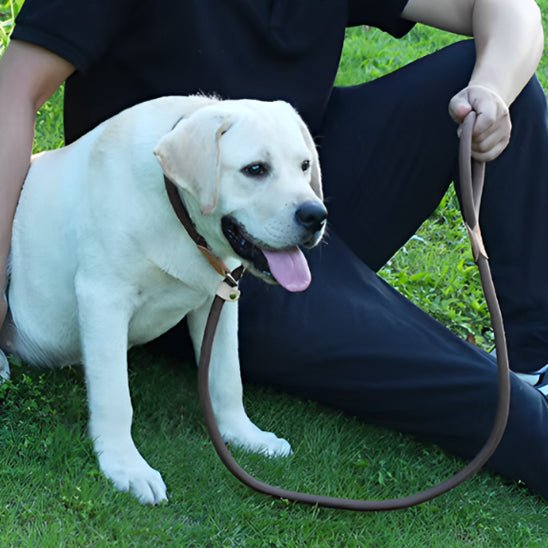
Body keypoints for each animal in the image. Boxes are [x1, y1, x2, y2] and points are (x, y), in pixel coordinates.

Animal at [0, 95, 326, 506]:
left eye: (304, 166)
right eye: (255, 169)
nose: (316, 215)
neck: (178, 215)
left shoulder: (220, 300)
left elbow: (227, 377)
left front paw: (243, 434)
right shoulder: (103, 296)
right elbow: (115, 397)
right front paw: (125, 466)